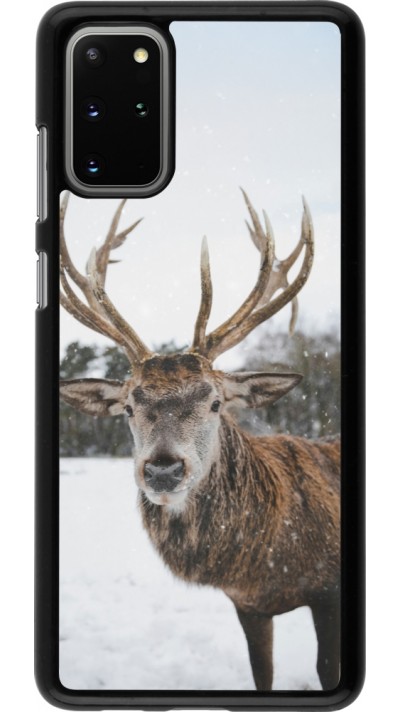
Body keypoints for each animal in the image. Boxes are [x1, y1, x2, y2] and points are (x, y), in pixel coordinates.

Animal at [59, 190, 340, 692]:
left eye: (214, 402)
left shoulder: (329, 591)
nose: (163, 469)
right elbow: (261, 673)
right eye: (128, 407)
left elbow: (328, 669)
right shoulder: (248, 605)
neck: (267, 564)